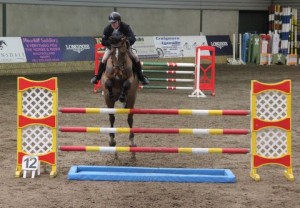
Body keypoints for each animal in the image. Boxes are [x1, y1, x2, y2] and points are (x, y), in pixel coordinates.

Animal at [100, 31, 139, 159]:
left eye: (122, 52)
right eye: (112, 53)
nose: (118, 73)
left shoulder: (131, 79)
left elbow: (127, 83)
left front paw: (122, 95)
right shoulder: (106, 79)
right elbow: (108, 83)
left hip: (132, 99)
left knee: (130, 119)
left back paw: (132, 144)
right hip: (109, 103)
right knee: (112, 117)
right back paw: (112, 142)